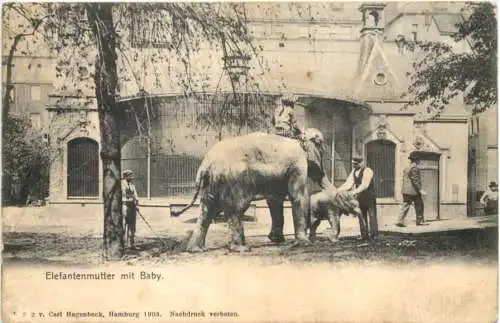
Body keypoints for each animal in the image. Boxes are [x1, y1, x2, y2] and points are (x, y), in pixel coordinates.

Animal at [172, 128, 332, 253]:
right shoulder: (297, 165)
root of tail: (206, 163)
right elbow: (298, 197)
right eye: (321, 147)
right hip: (234, 180)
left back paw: (196, 249)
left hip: (212, 182)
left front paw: (277, 239)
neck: (297, 136)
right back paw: (241, 248)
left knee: (207, 210)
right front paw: (304, 243)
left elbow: (274, 200)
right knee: (236, 208)